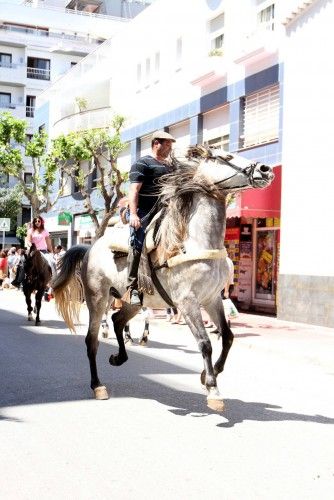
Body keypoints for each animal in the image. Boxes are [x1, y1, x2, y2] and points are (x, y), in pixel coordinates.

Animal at [53, 145, 274, 410]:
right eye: (226, 157)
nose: (266, 169)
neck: (196, 241)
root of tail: (89, 248)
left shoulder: (212, 299)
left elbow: (228, 337)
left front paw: (209, 374)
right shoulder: (187, 302)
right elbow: (205, 343)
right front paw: (212, 389)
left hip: (133, 301)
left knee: (117, 320)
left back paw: (119, 357)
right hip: (98, 299)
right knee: (92, 340)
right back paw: (98, 385)